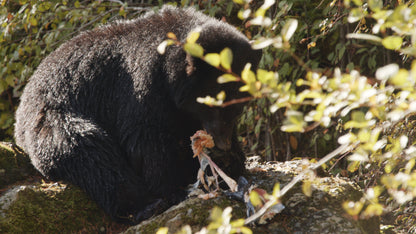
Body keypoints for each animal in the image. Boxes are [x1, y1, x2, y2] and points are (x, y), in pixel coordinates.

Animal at [14, 5, 262, 223]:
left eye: (237, 109)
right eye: (216, 104)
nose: (223, 144)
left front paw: (229, 163)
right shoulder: (142, 84)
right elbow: (148, 139)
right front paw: (174, 187)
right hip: (53, 117)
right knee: (87, 150)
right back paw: (145, 205)